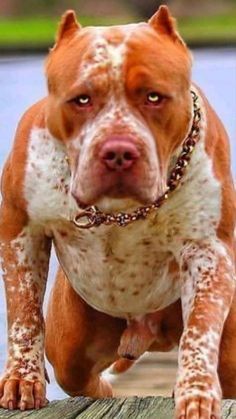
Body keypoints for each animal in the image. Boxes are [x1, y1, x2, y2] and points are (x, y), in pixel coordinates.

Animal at [0, 4, 236, 418]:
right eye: (81, 99)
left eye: (154, 97)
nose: (119, 151)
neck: (121, 211)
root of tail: (150, 334)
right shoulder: (20, 231)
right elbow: (23, 313)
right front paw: (22, 380)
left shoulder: (210, 252)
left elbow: (201, 329)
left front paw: (196, 393)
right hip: (73, 347)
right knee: (85, 379)